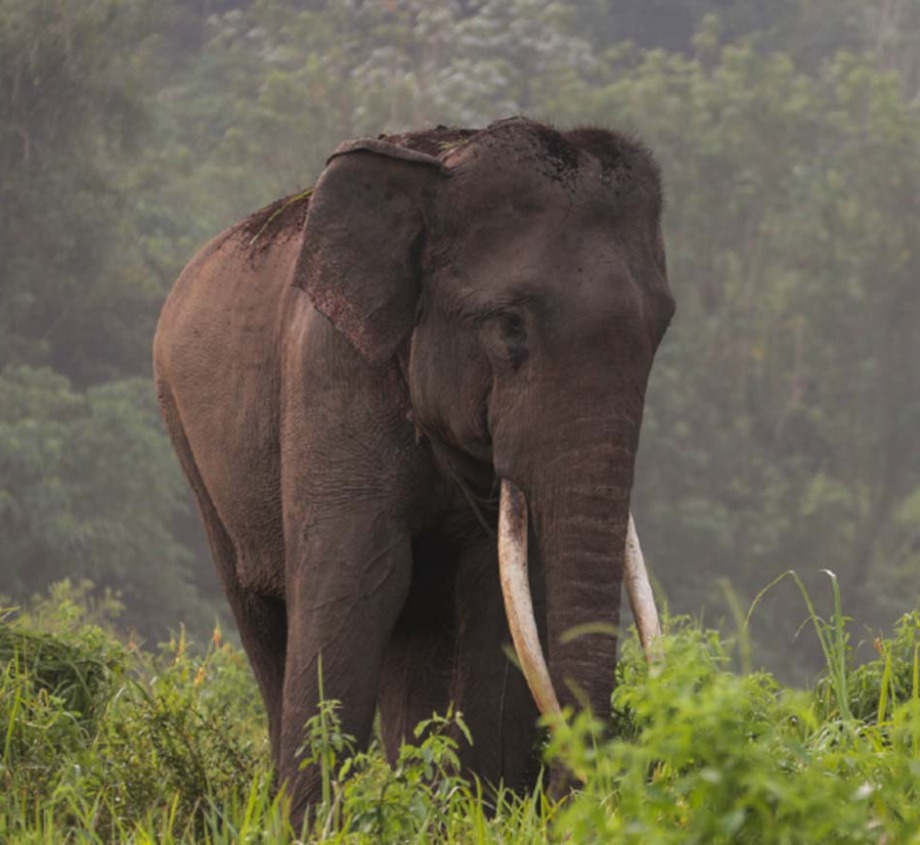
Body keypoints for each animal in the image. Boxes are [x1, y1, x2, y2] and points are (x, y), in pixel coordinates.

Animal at [153, 117, 674, 815]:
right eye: (510, 326)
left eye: (661, 329)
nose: (571, 797)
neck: (443, 167)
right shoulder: (331, 372)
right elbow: (358, 578)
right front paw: (317, 821)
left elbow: (490, 596)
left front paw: (475, 811)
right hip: (189, 440)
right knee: (261, 614)